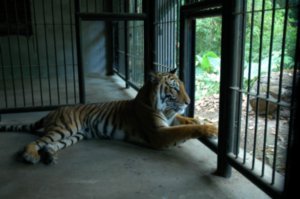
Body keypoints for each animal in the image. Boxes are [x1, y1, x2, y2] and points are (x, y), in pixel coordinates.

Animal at [0, 70, 217, 165]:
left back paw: (49, 156)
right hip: (64, 129)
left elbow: (186, 122)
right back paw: (31, 155)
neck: (165, 109)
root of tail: (52, 111)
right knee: (37, 141)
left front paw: (202, 120)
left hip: (75, 135)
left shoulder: (171, 119)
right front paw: (211, 129)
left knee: (50, 144)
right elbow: (186, 129)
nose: (189, 102)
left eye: (183, 86)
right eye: (174, 88)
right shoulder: (158, 133)